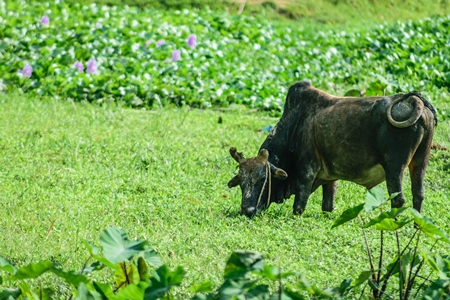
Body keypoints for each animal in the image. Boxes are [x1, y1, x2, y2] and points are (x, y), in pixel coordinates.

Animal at [229, 81, 436, 217]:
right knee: (419, 194)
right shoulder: (330, 174)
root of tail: (414, 101)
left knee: (398, 199)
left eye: (262, 179)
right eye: (241, 182)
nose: (246, 210)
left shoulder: (307, 169)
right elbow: (327, 204)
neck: (294, 125)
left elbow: (300, 201)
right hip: (420, 161)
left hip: (394, 167)